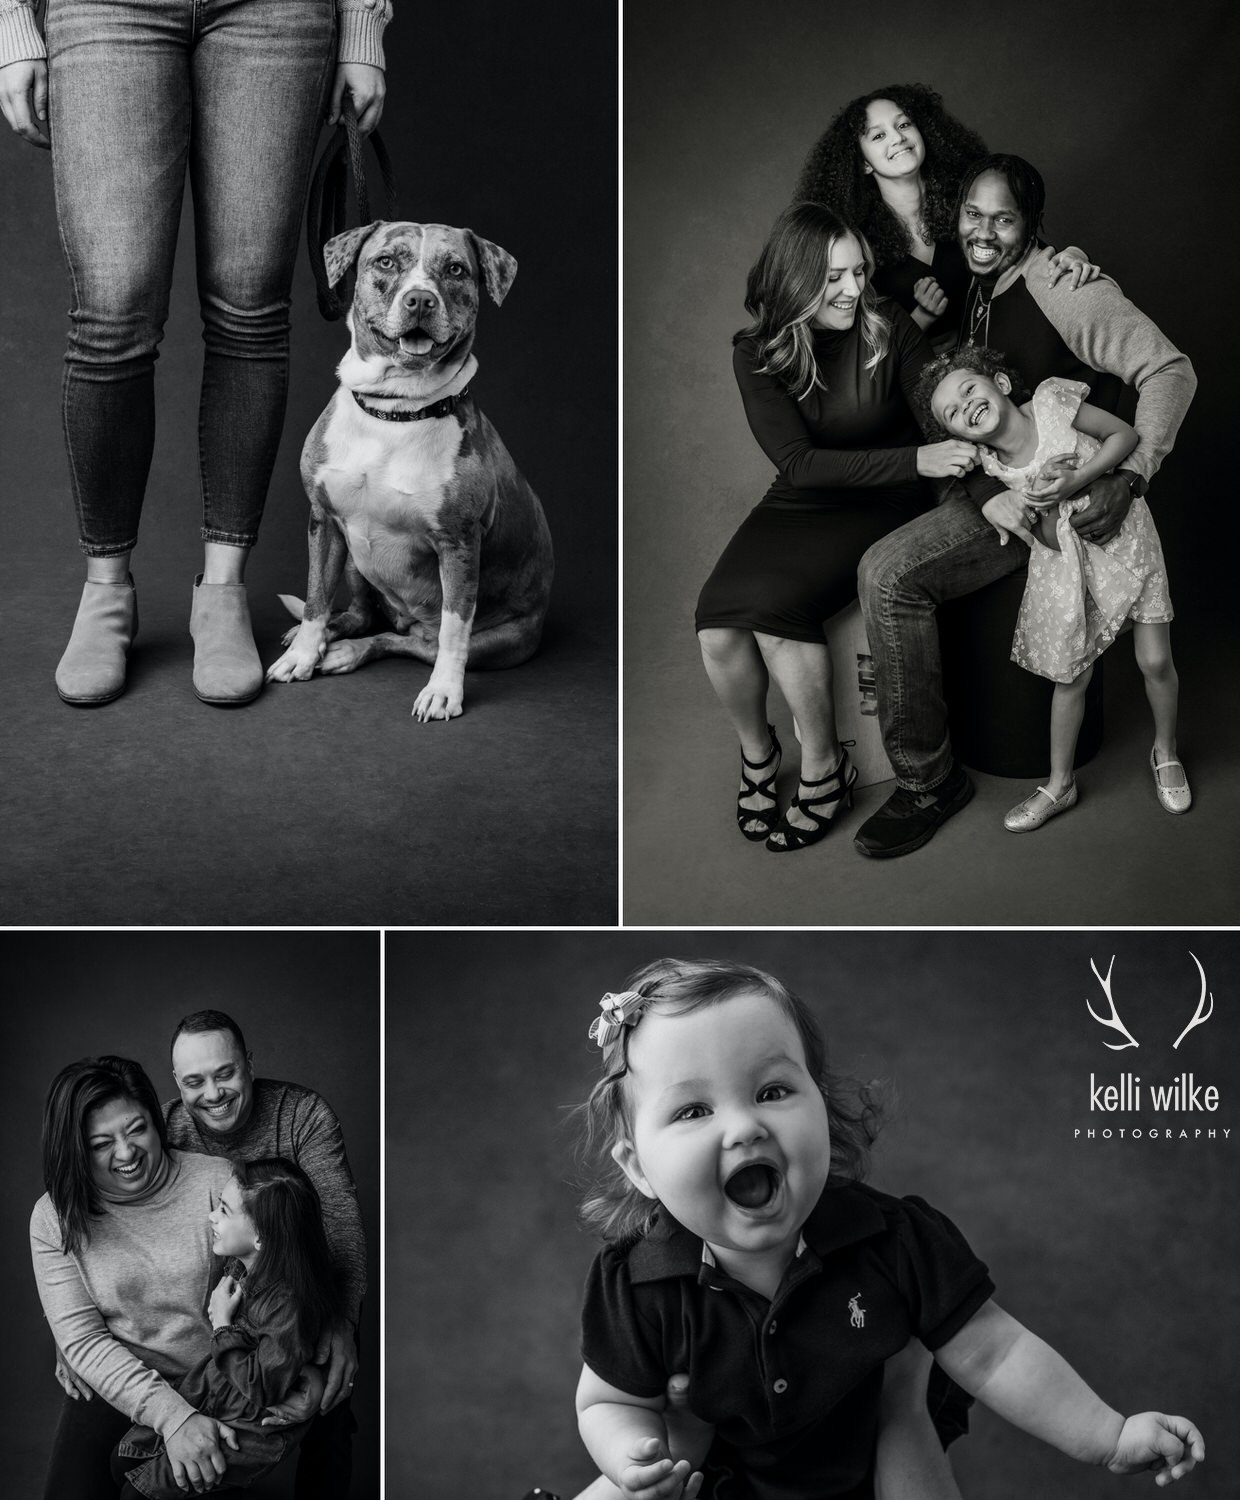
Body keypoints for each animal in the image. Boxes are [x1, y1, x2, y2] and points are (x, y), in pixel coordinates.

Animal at [269, 216, 554, 720]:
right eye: (386, 262)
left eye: (456, 269)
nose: (420, 299)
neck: (395, 411)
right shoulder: (323, 521)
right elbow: (317, 598)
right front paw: (303, 653)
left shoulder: (459, 545)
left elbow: (453, 633)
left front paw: (444, 691)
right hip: (355, 559)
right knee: (362, 615)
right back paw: (324, 638)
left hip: (503, 640)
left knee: (409, 642)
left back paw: (348, 652)